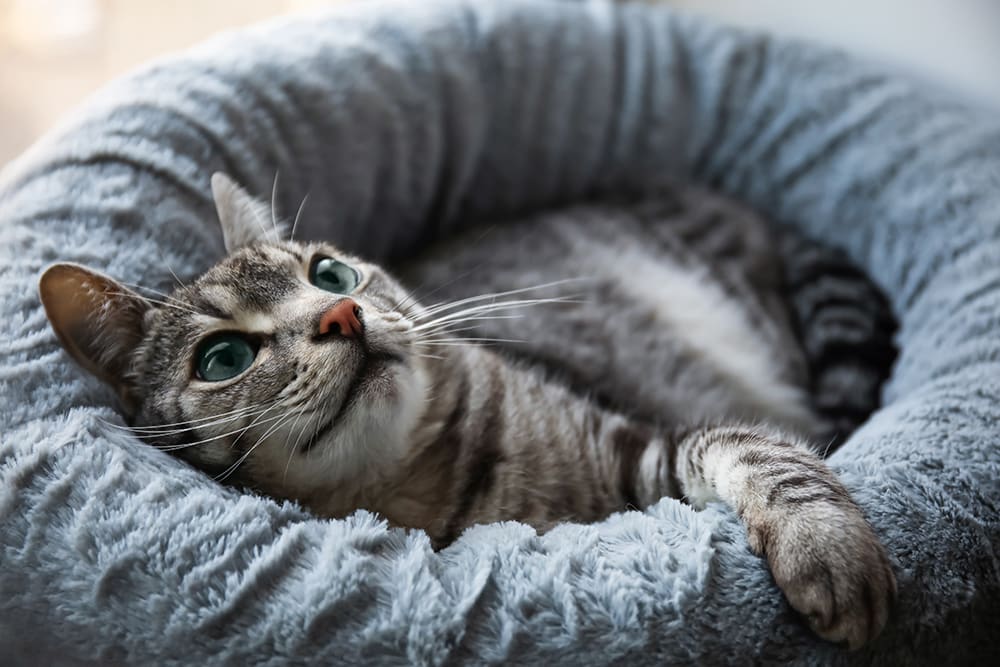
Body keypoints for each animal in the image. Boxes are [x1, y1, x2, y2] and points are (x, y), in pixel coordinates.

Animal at [39, 174, 900, 652]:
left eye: (330, 272)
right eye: (223, 359)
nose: (342, 314)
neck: (429, 487)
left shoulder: (642, 445)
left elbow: (754, 448)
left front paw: (826, 543)